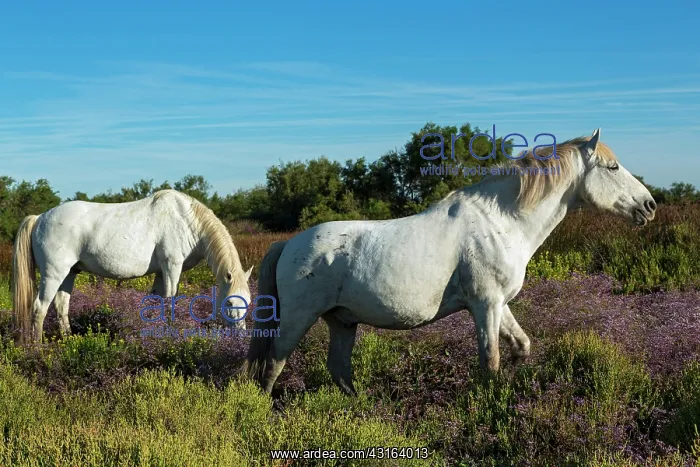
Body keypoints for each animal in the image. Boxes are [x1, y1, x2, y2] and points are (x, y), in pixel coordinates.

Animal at [12, 189, 253, 343]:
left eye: (248, 302)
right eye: (230, 302)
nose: (240, 337)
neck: (186, 220)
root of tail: (39, 217)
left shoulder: (161, 272)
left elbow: (156, 303)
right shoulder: (171, 267)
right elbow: (170, 302)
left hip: (69, 273)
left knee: (61, 306)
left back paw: (68, 339)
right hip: (53, 274)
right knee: (39, 308)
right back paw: (37, 348)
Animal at [243, 128, 657, 396]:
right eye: (612, 168)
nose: (650, 205)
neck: (501, 222)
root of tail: (289, 243)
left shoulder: (499, 304)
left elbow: (520, 345)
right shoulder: (485, 305)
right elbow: (490, 359)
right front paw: (491, 405)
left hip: (342, 321)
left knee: (340, 371)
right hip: (297, 318)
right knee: (273, 365)